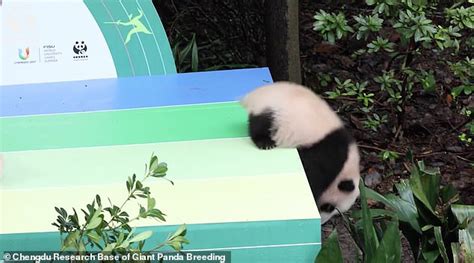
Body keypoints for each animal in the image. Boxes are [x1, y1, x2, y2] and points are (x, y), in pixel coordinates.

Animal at [241, 81, 360, 224]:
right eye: (329, 207)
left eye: (335, 212)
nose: (322, 222)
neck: (347, 165)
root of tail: (252, 95)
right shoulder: (327, 156)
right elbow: (312, 175)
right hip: (274, 111)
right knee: (260, 124)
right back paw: (265, 143)